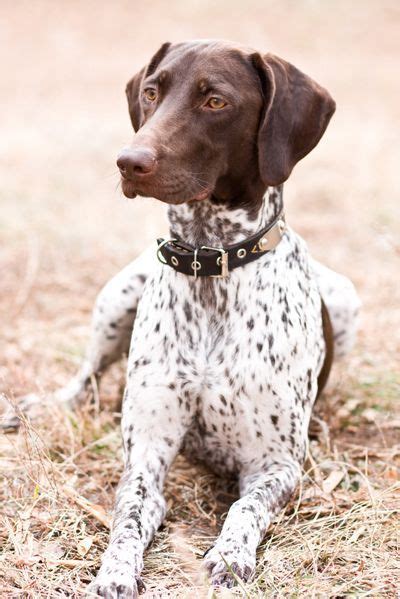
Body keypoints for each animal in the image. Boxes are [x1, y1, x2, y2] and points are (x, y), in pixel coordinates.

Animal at [4, 39, 360, 596]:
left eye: (215, 101)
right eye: (152, 93)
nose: (129, 161)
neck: (209, 264)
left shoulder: (275, 465)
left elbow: (244, 508)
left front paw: (230, 555)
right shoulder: (145, 456)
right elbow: (129, 513)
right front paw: (115, 569)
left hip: (344, 301)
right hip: (117, 296)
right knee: (85, 379)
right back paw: (37, 408)